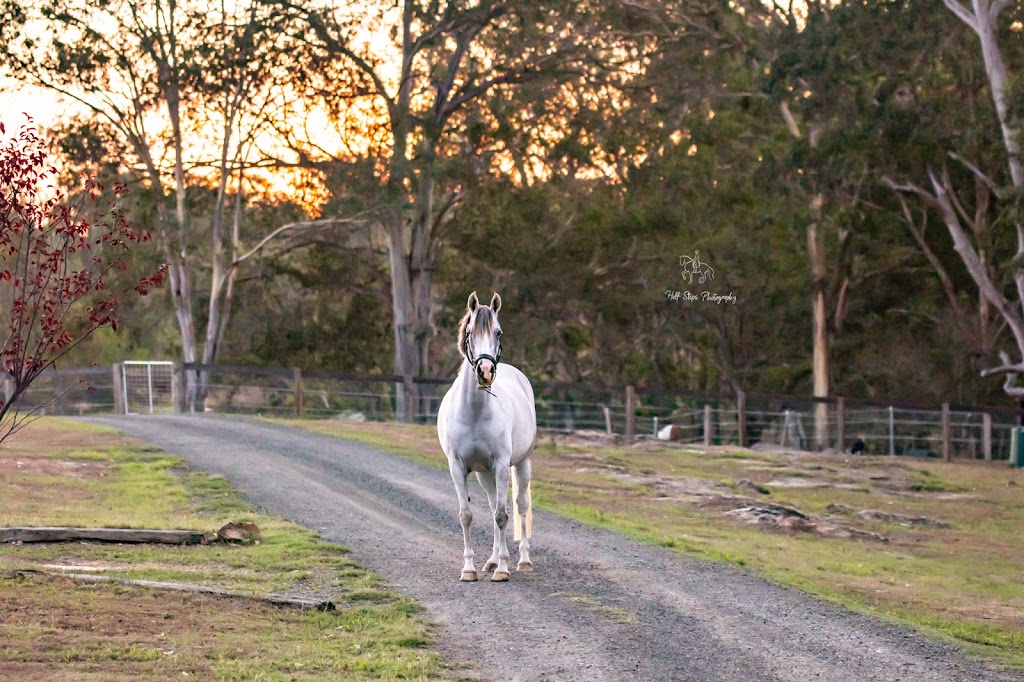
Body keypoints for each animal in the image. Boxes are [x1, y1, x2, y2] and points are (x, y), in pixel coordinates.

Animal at [436, 288, 540, 581]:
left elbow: (503, 516)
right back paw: (491, 561)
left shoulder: (502, 464)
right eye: (470, 332)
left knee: (520, 506)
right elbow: (467, 515)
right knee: (494, 504)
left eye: (499, 332)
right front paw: (469, 569)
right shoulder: (457, 466)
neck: (474, 412)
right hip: (485, 474)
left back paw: (522, 561)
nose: (485, 371)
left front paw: (504, 570)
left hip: (521, 464)